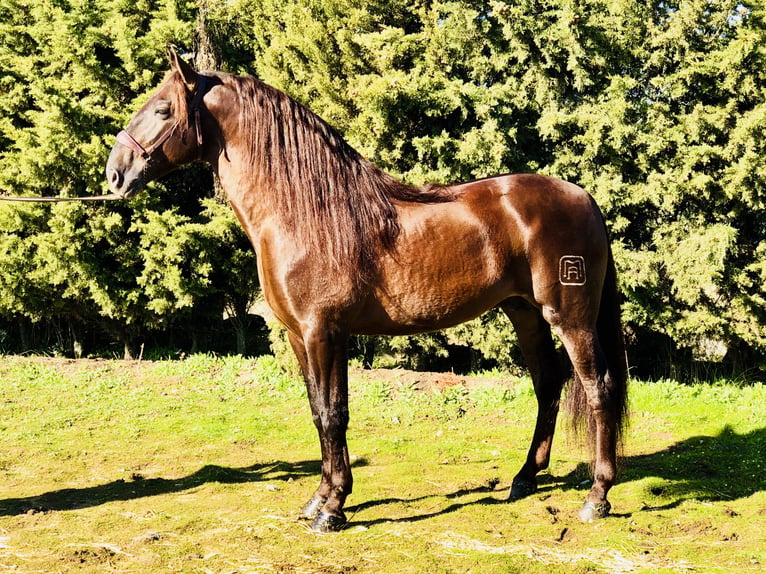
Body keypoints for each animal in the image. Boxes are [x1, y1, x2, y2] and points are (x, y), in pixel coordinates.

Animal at [106, 49, 632, 536]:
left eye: (162, 110)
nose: (115, 173)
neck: (305, 212)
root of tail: (584, 198)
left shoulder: (325, 333)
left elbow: (334, 415)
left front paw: (334, 508)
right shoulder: (300, 336)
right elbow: (318, 413)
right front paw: (317, 500)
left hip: (570, 317)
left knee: (599, 389)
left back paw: (597, 497)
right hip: (524, 313)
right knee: (548, 386)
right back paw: (524, 479)